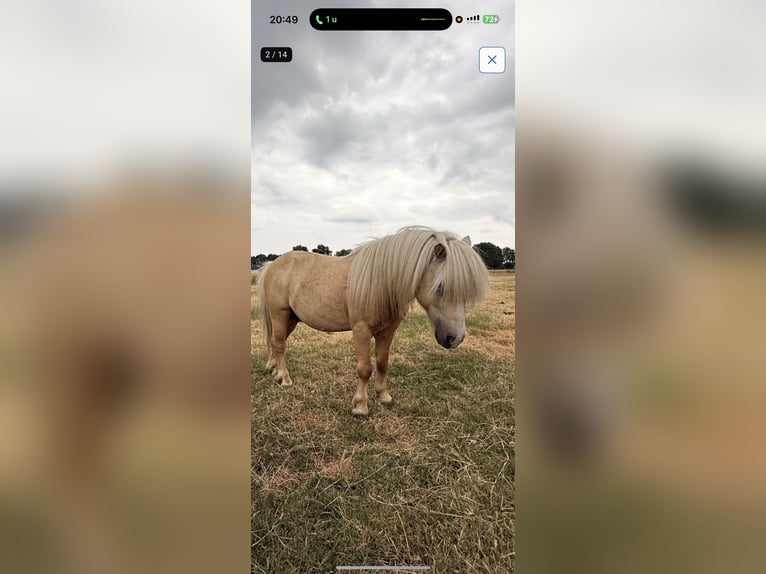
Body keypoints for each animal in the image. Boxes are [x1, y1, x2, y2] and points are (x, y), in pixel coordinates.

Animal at [255, 226, 489, 416]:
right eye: (440, 287)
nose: (455, 338)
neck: (381, 282)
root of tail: (272, 264)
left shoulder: (388, 331)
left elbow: (382, 363)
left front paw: (384, 396)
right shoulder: (361, 330)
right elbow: (365, 368)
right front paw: (360, 406)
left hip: (291, 319)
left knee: (276, 343)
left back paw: (274, 370)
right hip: (279, 314)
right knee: (279, 344)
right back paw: (285, 379)